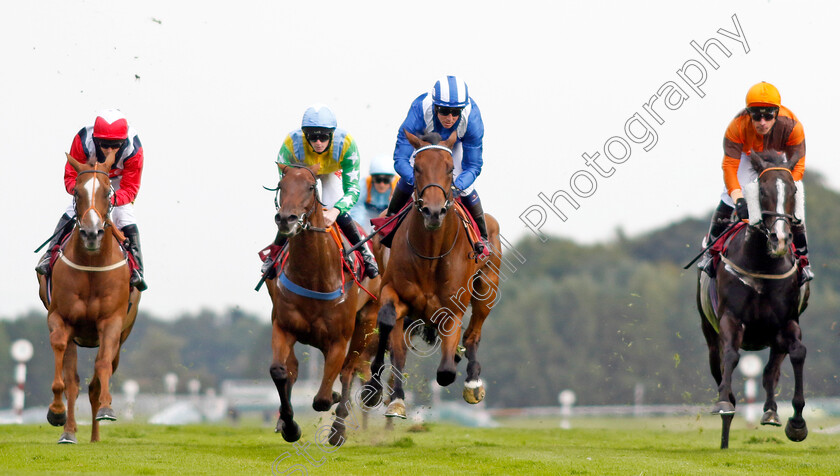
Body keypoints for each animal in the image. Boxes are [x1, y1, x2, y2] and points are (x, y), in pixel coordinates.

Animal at [36, 151, 140, 444]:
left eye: (108, 192)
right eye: (77, 192)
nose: (91, 233)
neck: (92, 265)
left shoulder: (112, 322)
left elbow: (102, 365)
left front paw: (107, 407)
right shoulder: (61, 318)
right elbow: (64, 368)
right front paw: (56, 412)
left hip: (123, 334)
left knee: (97, 378)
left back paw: (95, 435)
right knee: (73, 381)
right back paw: (69, 432)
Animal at [266, 162, 380, 444]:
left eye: (310, 186)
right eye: (281, 185)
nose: (286, 219)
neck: (313, 275)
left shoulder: (339, 338)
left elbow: (323, 399)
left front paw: (335, 408)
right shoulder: (282, 327)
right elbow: (280, 371)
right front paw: (290, 426)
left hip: (366, 321)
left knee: (348, 372)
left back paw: (338, 429)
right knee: (294, 369)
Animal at [362, 132, 506, 418]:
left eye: (450, 169)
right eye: (417, 168)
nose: (434, 211)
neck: (430, 253)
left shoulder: (453, 309)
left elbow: (446, 371)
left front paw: (458, 364)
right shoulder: (393, 293)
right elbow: (390, 332)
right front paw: (387, 394)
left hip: (487, 288)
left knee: (473, 333)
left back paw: (473, 381)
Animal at [700, 150, 812, 450]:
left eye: (793, 190)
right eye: (762, 191)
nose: (780, 237)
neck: (763, 264)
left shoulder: (787, 322)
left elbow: (798, 353)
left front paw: (797, 423)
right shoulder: (731, 319)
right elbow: (730, 355)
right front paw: (724, 403)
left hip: (774, 338)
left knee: (770, 371)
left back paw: (771, 411)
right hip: (709, 334)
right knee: (719, 366)